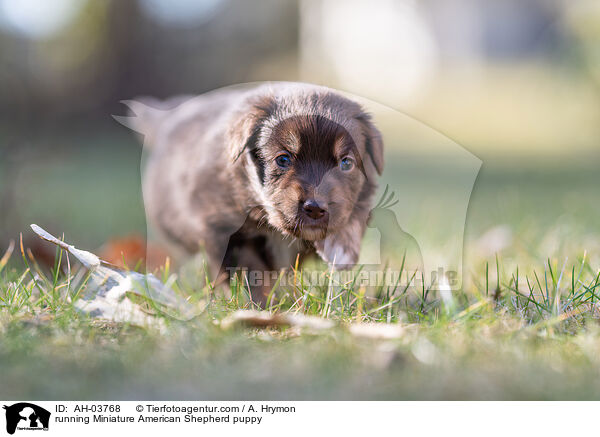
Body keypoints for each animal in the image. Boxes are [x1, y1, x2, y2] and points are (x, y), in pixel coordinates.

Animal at [131, 83, 384, 304]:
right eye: (283, 159)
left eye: (346, 163)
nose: (315, 208)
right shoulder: (225, 231)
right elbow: (250, 273)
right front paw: (263, 305)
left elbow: (352, 217)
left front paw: (342, 248)